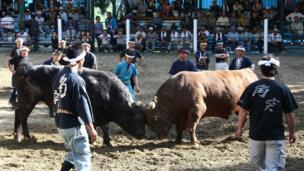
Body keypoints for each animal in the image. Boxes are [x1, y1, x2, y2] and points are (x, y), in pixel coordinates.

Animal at [13, 63, 146, 146]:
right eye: (137, 118)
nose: (143, 134)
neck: (107, 90)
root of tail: (24, 69)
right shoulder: (96, 113)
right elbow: (104, 127)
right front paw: (107, 143)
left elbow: (94, 126)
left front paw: (92, 140)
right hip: (29, 101)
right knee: (22, 115)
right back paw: (26, 136)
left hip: (26, 101)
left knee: (18, 113)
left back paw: (17, 135)